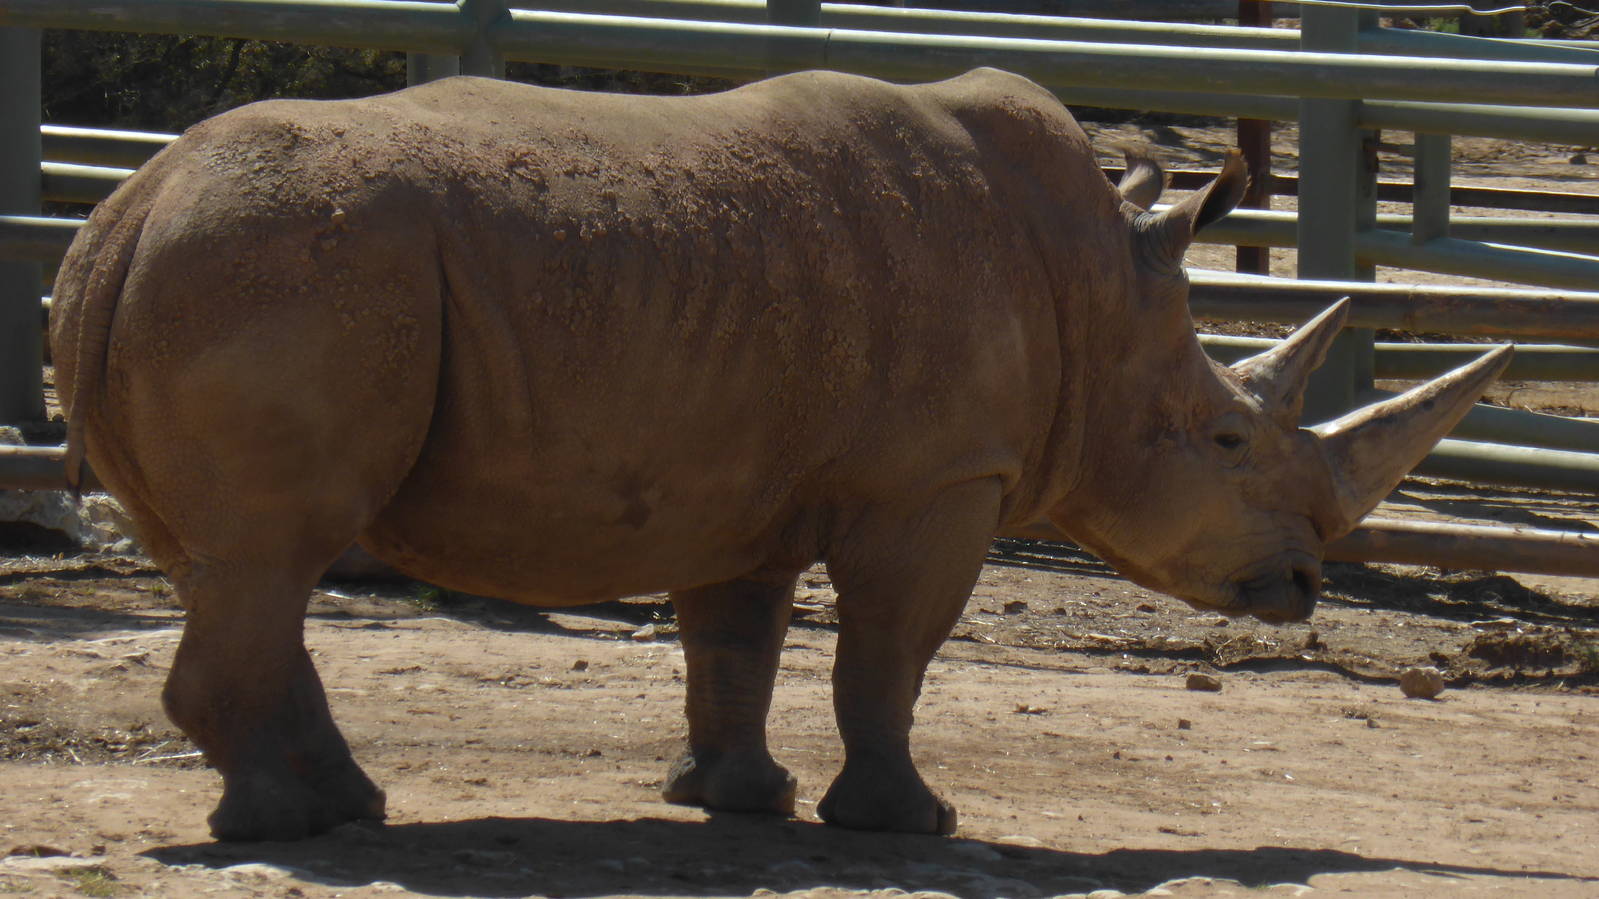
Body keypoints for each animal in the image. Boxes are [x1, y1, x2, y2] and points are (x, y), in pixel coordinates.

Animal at [51, 68, 1507, 842]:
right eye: (1223, 439)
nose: (1302, 585)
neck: (1097, 306)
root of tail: (126, 210)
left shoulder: (731, 473)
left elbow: (734, 642)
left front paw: (736, 799)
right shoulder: (940, 477)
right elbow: (890, 650)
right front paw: (911, 823)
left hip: (238, 270)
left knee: (239, 561)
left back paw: (346, 804)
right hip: (278, 271)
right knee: (271, 549)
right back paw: (287, 827)